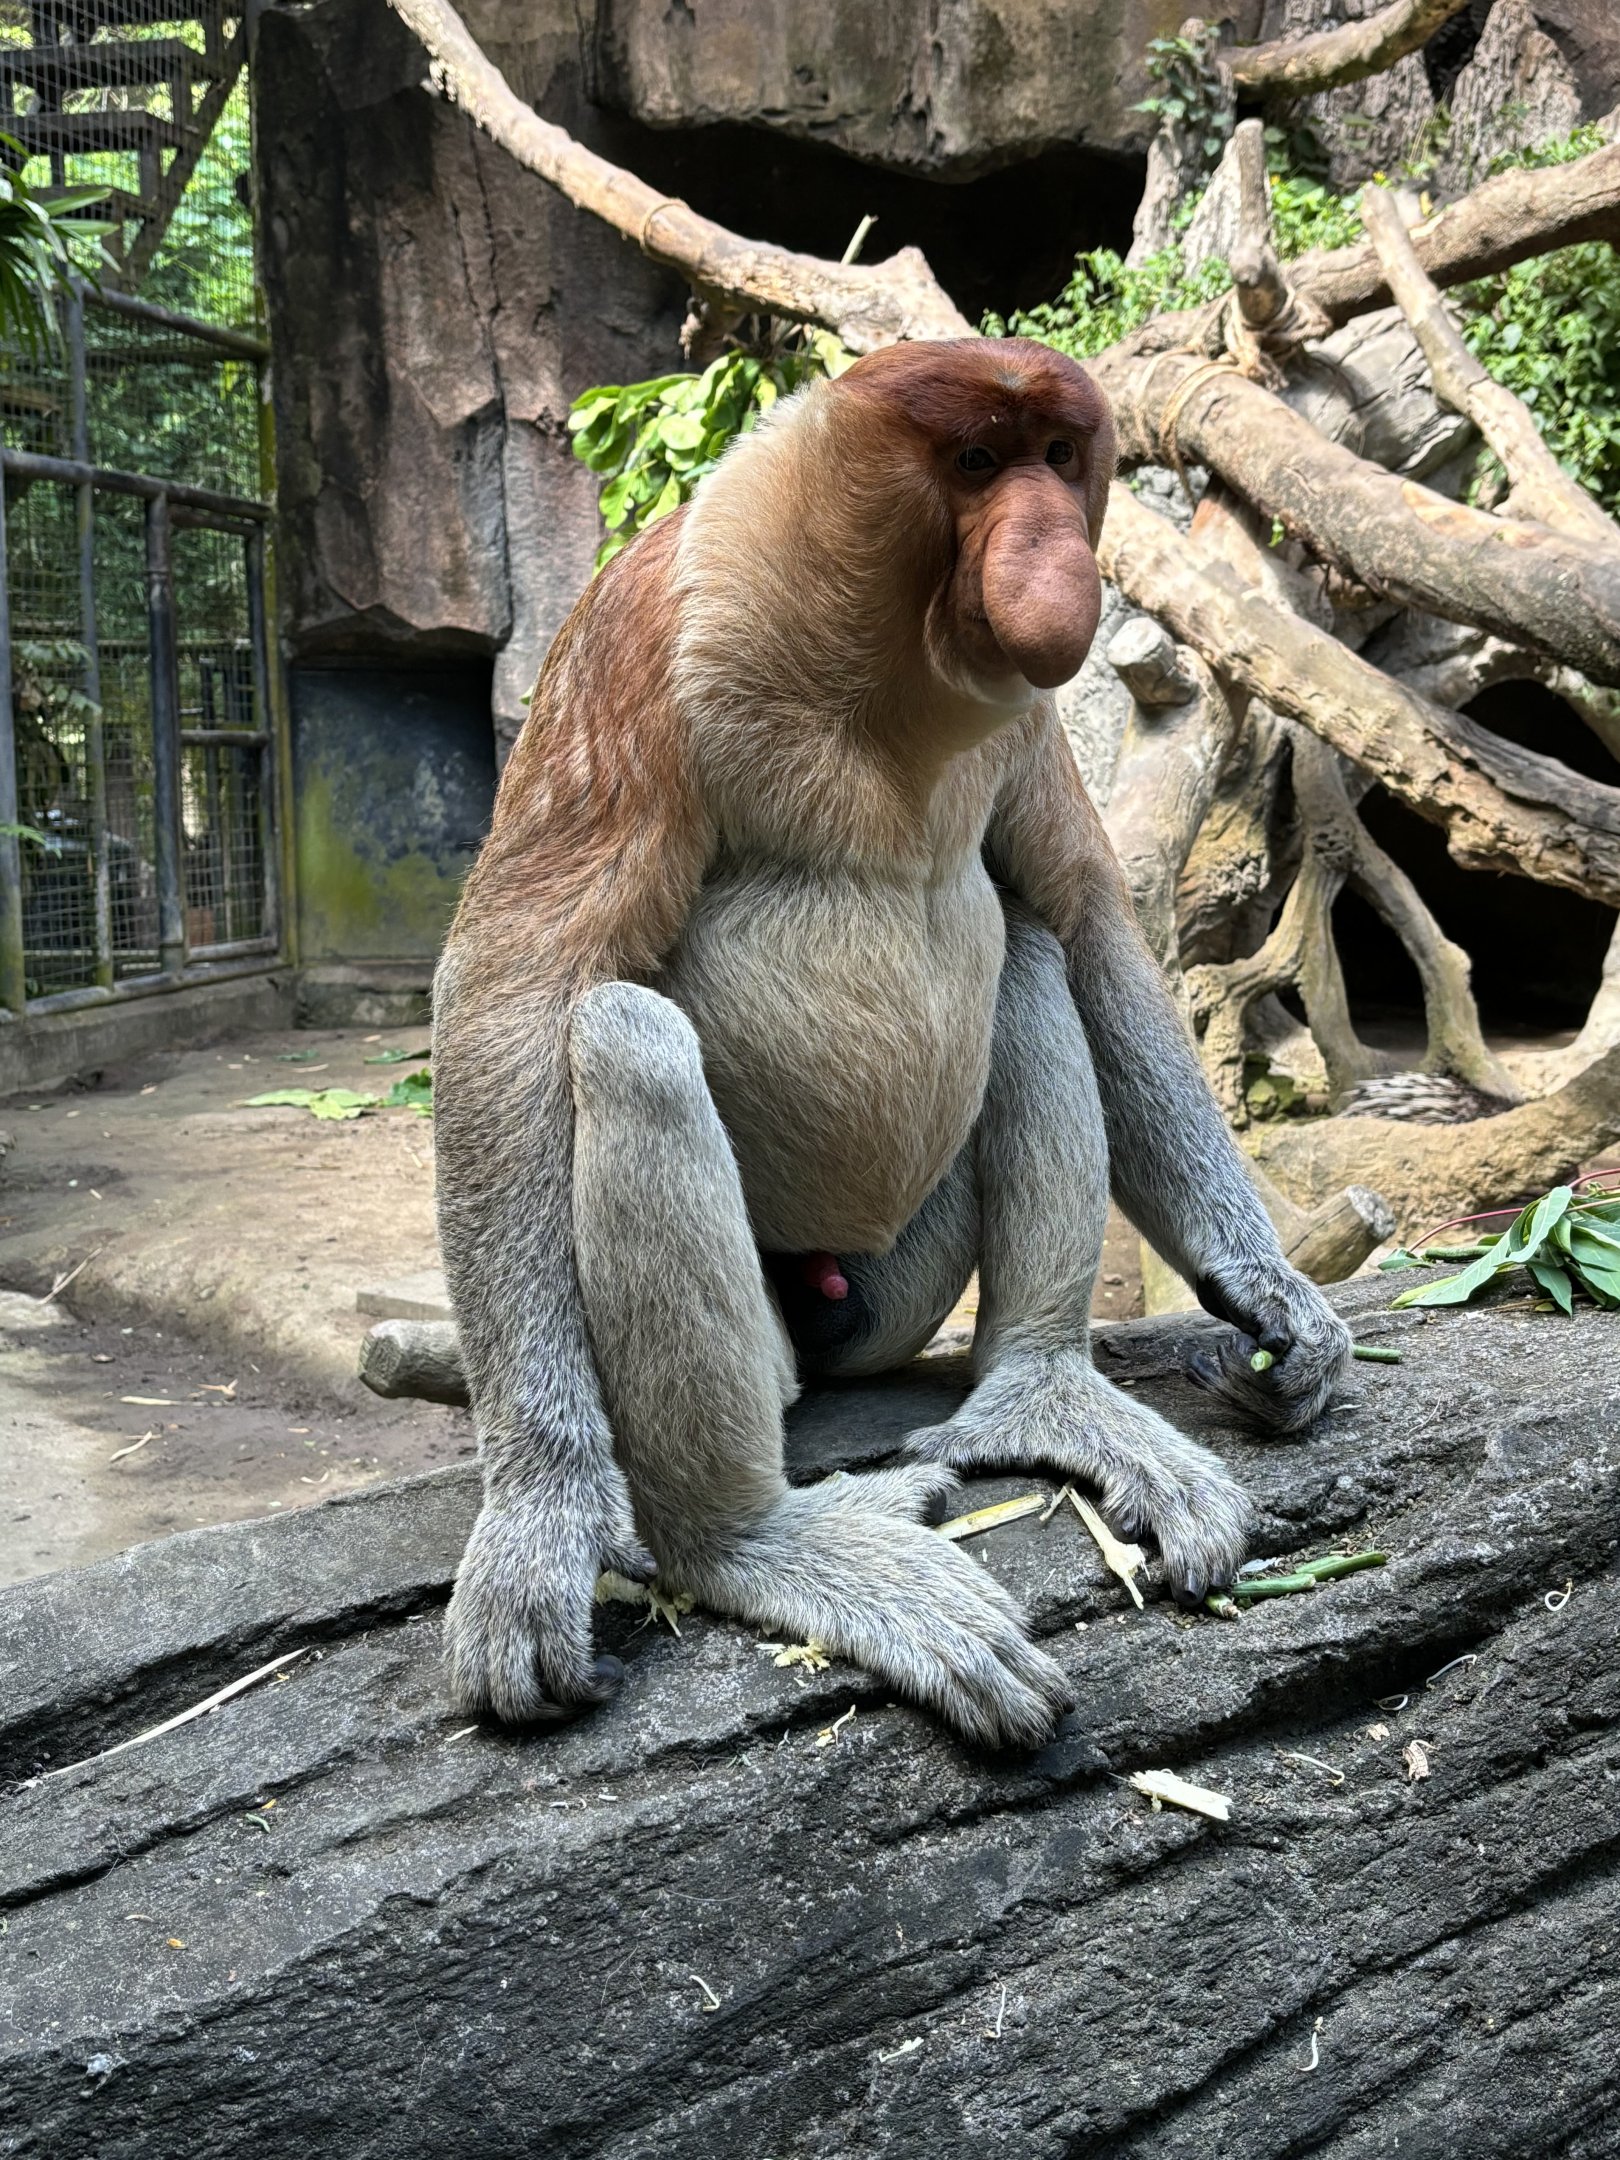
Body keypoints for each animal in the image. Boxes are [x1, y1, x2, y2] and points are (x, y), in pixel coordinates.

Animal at [431, 337, 1353, 1749]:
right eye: (974, 462)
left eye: (1055, 457)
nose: (1053, 552)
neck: (890, 667)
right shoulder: (648, 630)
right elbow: (513, 987)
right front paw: (539, 1523)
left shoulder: (1027, 714)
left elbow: (1087, 919)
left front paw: (1270, 1294)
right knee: (625, 1038)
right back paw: (761, 1543)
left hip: (905, 1275)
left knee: (1029, 957)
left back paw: (1044, 1393)